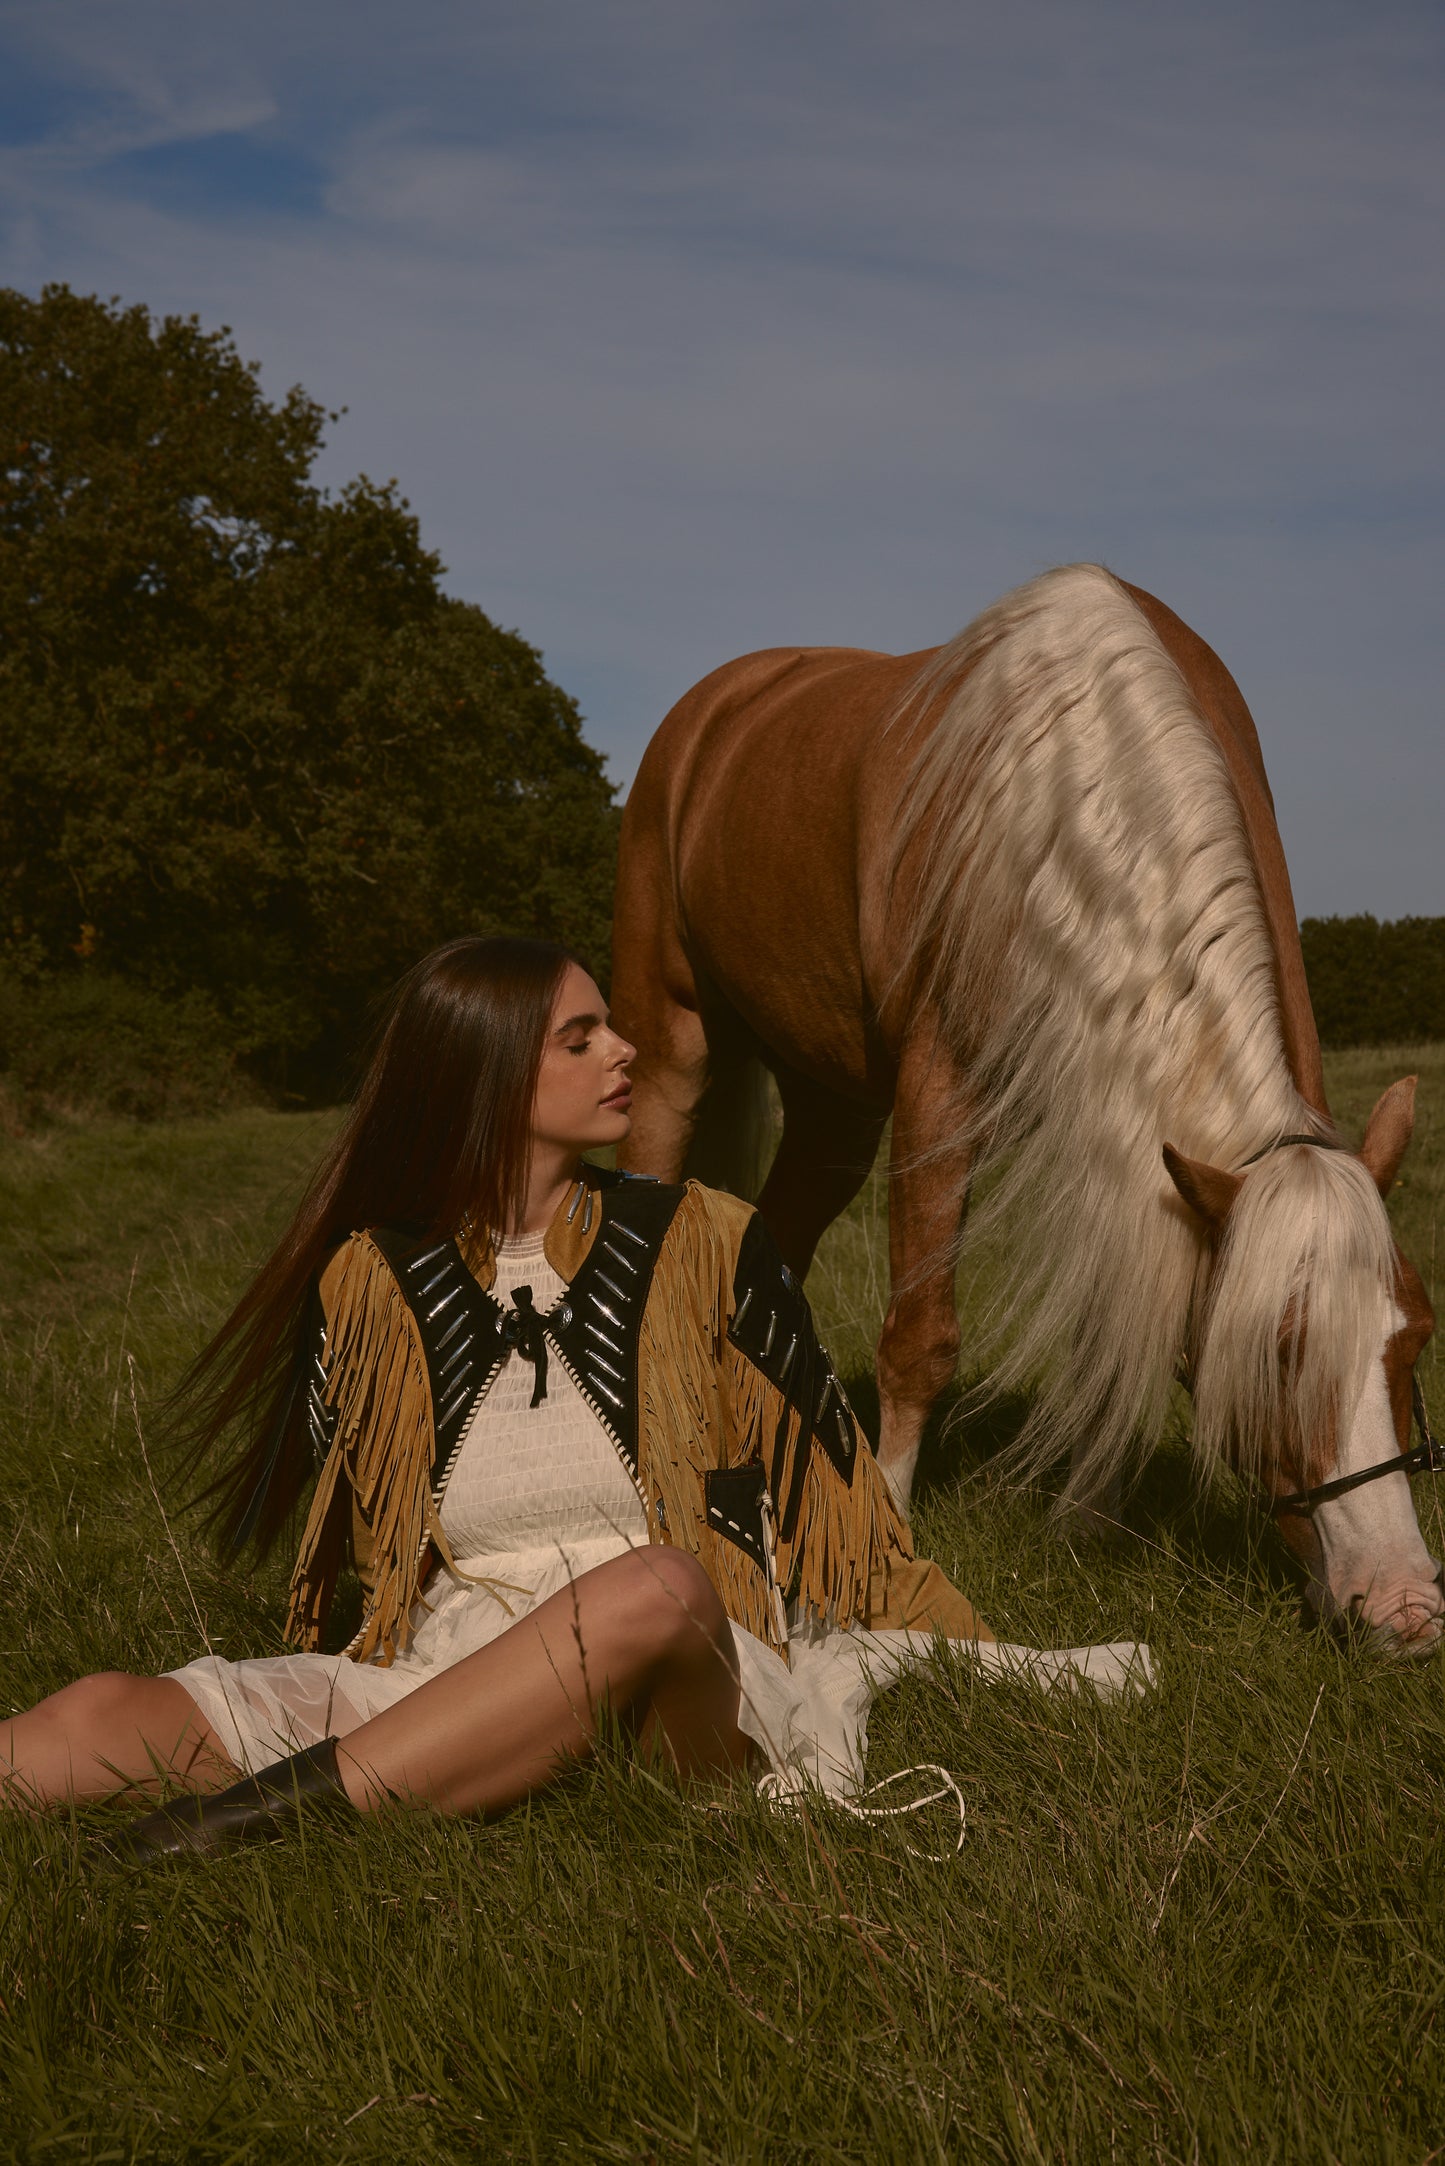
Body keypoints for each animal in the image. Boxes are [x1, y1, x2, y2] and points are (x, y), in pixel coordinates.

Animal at [615, 567, 1445, 1646]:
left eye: (1414, 1335)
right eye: (1275, 1351)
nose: (1403, 1607)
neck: (1071, 795)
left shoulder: (1120, 1142)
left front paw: (1084, 1522)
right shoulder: (940, 1092)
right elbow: (920, 1339)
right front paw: (890, 1547)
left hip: (832, 1107)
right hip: (668, 1047)